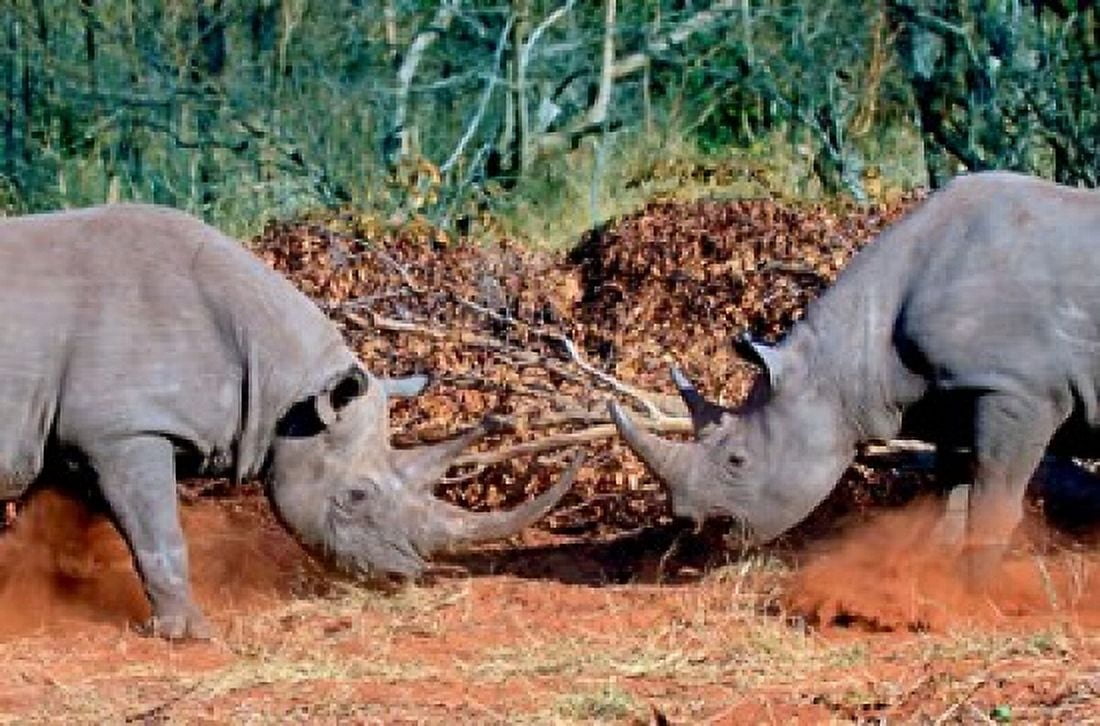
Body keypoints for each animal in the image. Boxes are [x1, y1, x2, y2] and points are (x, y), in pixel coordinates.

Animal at [0, 204, 577, 638]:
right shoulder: (126, 429)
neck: (285, 386)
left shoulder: (79, 431)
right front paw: (189, 635)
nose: (403, 576)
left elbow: (58, 520)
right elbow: (158, 530)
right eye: (356, 497)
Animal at [611, 172, 1100, 578]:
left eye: (737, 460)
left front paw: (971, 594)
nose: (688, 518)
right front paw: (927, 586)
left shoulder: (1017, 390)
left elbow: (992, 500)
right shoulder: (955, 393)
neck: (848, 355)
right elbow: (950, 496)